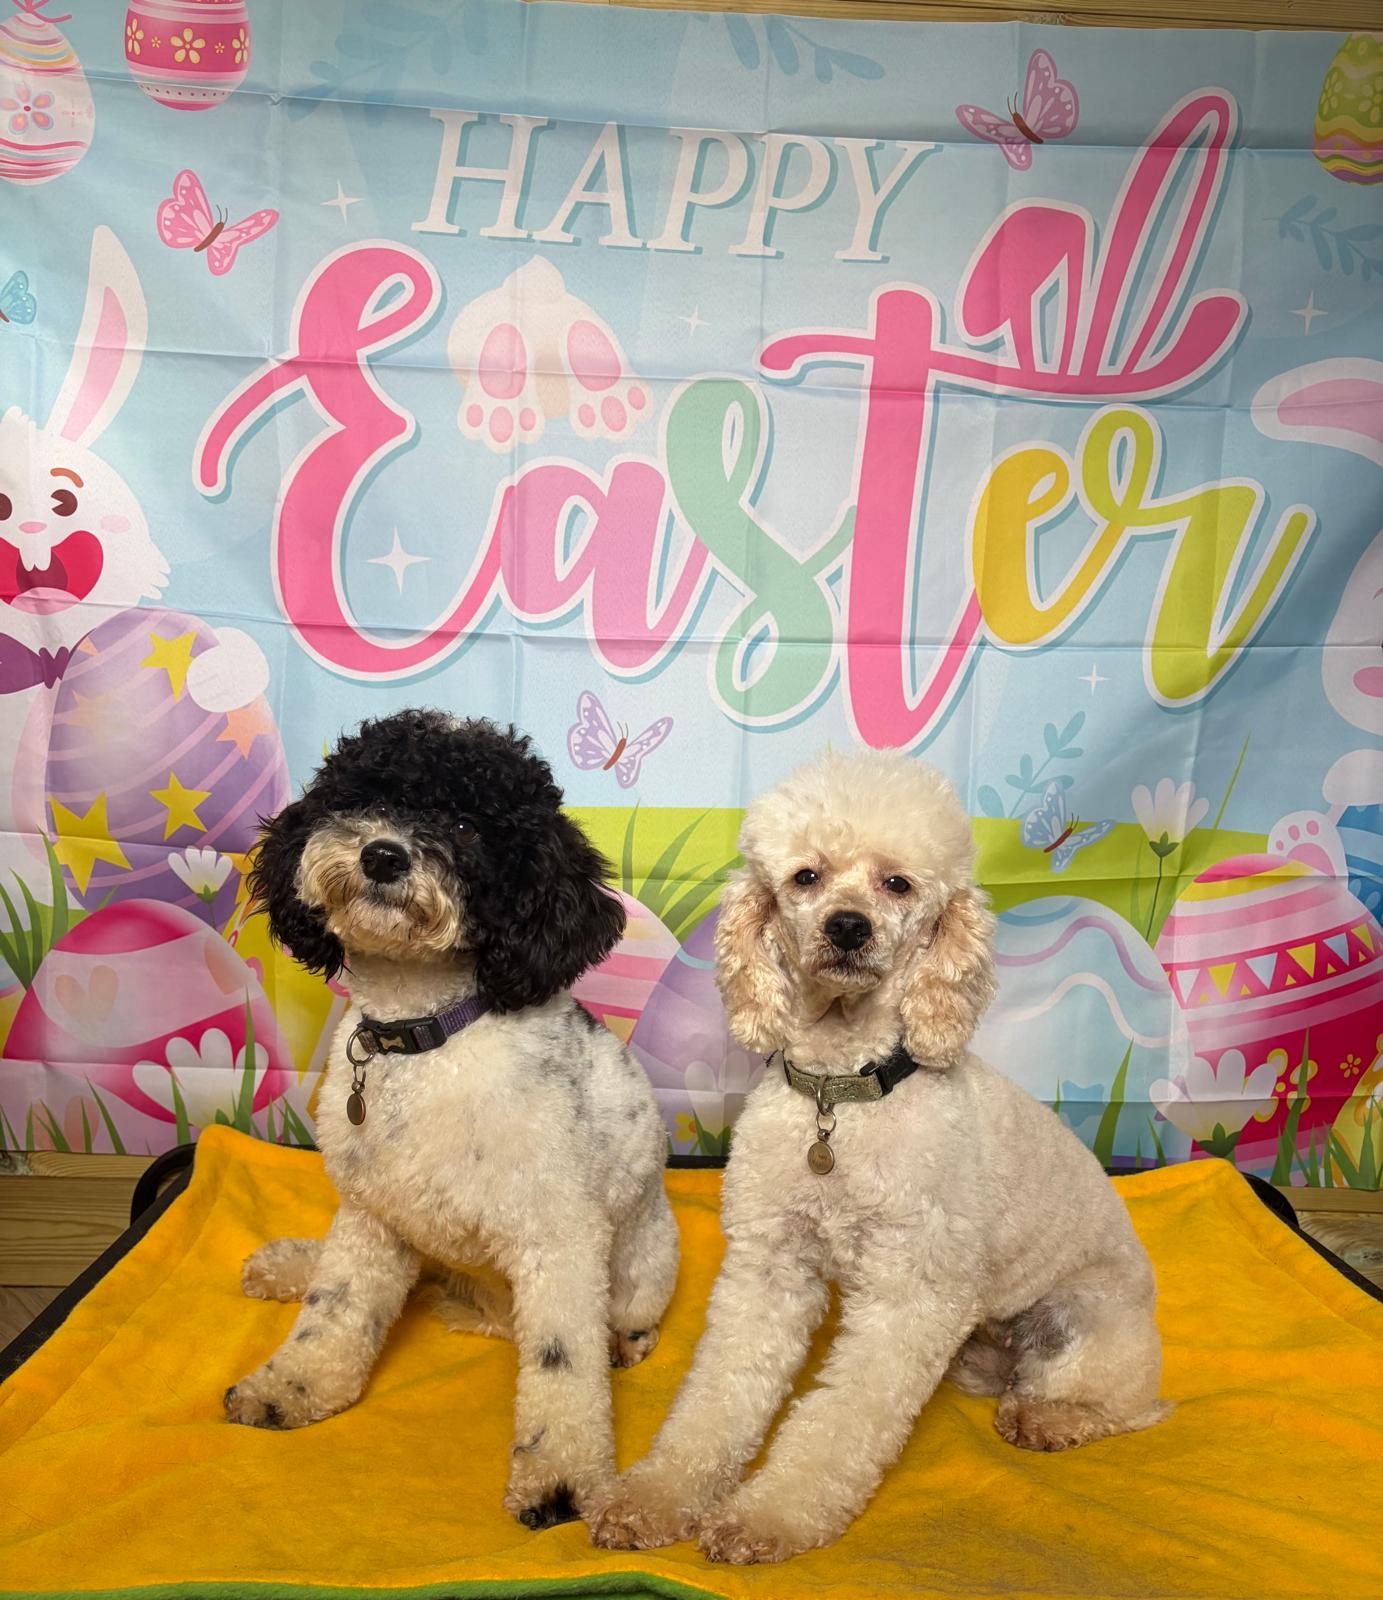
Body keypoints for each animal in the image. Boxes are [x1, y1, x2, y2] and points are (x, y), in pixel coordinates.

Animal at [226, 710, 678, 1531]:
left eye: (468, 827)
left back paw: (622, 1341)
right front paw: (292, 1388)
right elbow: (334, 1312)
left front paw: (560, 1480)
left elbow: (563, 1368)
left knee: (618, 1321)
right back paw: (290, 1265)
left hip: (643, 1262)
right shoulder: (373, 1216)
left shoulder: (558, 1240)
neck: (423, 1036)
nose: (382, 854)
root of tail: (487, 1311)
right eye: (367, 796)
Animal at [591, 748, 1168, 1564]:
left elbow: (841, 1422)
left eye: (898, 884)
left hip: (1085, 1321)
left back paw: (1051, 1418)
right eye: (806, 876)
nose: (847, 927)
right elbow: (721, 1393)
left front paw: (767, 1517)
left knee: (1126, 1407)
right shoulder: (771, 1270)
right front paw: (657, 1495)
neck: (842, 1093)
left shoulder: (910, 1293)